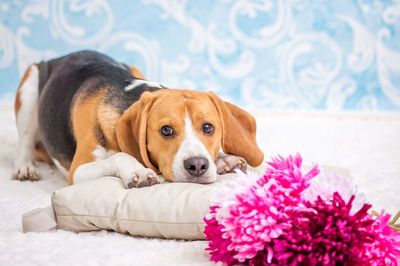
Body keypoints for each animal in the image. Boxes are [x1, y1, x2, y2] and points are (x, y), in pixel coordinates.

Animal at [12, 50, 264, 187]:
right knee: (24, 141)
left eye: (208, 127)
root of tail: (58, 58)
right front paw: (139, 171)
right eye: (166, 130)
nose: (197, 166)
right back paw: (25, 167)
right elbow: (120, 156)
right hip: (30, 84)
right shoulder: (78, 170)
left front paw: (223, 158)